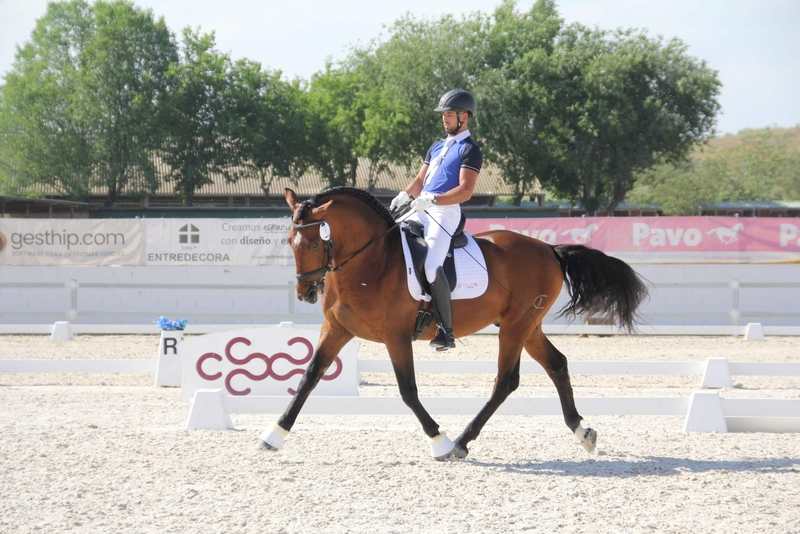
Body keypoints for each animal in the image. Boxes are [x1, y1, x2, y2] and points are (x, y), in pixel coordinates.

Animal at [258, 186, 649, 460]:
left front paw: (439, 441)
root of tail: (549, 249)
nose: (305, 292)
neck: (370, 261)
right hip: (526, 325)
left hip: (516, 326)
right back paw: (582, 432)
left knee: (506, 381)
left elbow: (408, 391)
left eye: (313, 243)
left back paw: (461, 441)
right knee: (556, 364)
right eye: (289, 241)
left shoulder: (396, 337)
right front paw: (274, 435)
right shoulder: (336, 330)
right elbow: (308, 378)